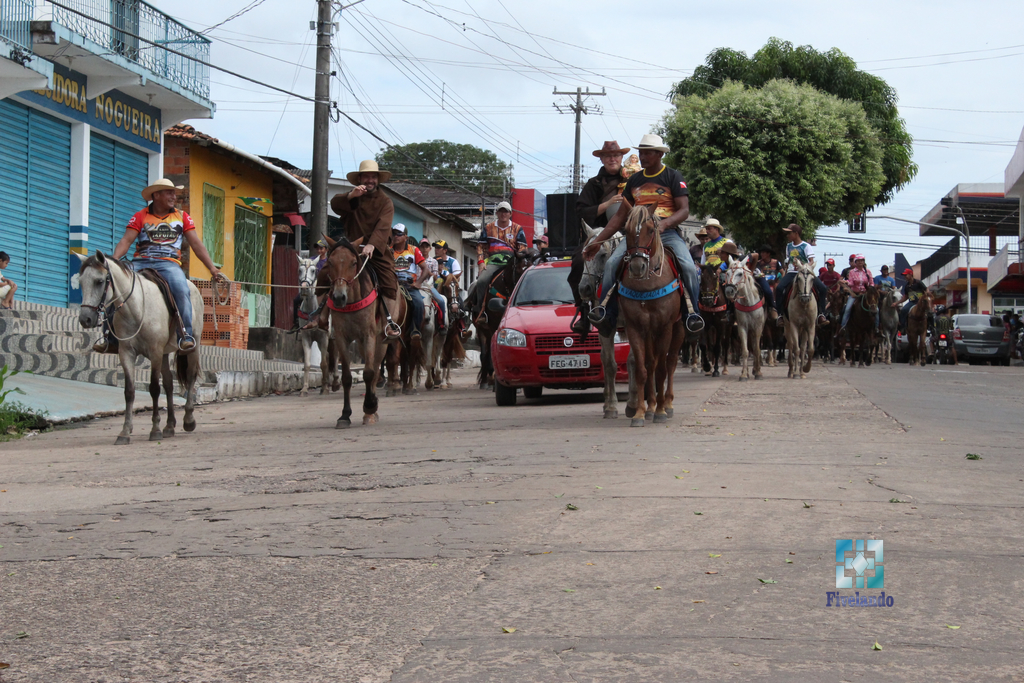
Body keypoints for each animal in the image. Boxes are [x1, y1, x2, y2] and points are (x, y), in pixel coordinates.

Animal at [77, 252, 202, 445]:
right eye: (81, 282)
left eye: (99, 281)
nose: (85, 319)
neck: (135, 308)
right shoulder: (127, 353)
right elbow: (129, 391)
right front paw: (125, 432)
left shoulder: (155, 352)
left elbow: (154, 389)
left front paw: (155, 430)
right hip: (165, 353)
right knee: (169, 384)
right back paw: (169, 425)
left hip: (192, 345)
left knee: (190, 376)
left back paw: (188, 420)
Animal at [295, 257, 339, 396]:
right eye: (300, 270)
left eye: (313, 271)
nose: (304, 288)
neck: (312, 311)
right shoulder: (306, 337)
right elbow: (307, 364)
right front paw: (304, 389)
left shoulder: (323, 337)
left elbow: (324, 364)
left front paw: (325, 389)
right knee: (329, 356)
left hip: (333, 337)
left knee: (335, 357)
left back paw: (334, 383)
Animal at [321, 237, 409, 427]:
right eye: (330, 262)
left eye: (354, 263)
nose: (339, 297)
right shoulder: (342, 338)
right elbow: (347, 377)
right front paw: (345, 415)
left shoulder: (369, 335)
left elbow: (369, 373)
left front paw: (369, 406)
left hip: (381, 340)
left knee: (375, 369)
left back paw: (372, 410)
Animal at [617, 205, 686, 427]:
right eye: (627, 229)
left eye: (650, 229)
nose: (637, 267)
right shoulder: (635, 328)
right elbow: (642, 369)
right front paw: (639, 413)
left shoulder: (665, 327)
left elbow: (663, 369)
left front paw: (661, 412)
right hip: (649, 333)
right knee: (651, 363)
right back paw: (650, 407)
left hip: (678, 329)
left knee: (670, 363)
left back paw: (667, 404)